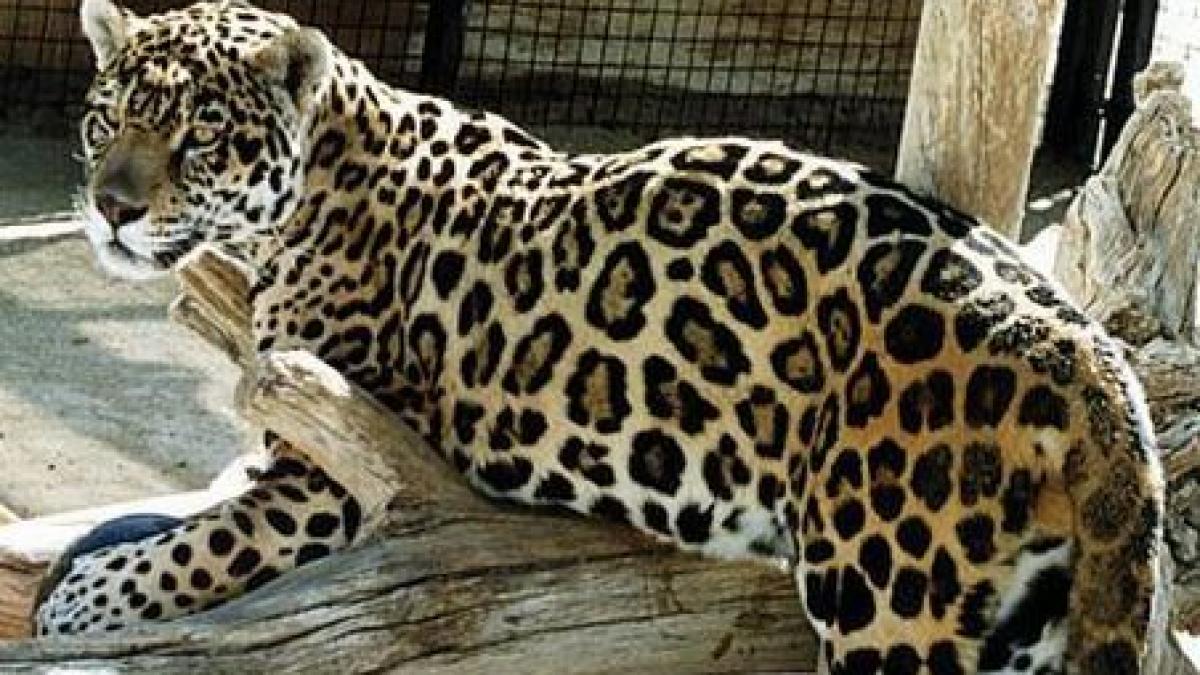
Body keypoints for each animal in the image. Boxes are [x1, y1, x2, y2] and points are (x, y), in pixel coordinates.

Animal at [35, 1, 1168, 672]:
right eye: (106, 120)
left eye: (200, 136)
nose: (110, 210)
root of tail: (1078, 341)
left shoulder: (336, 465)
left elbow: (190, 551)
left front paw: (72, 604)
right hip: (1025, 612)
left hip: (895, 601)